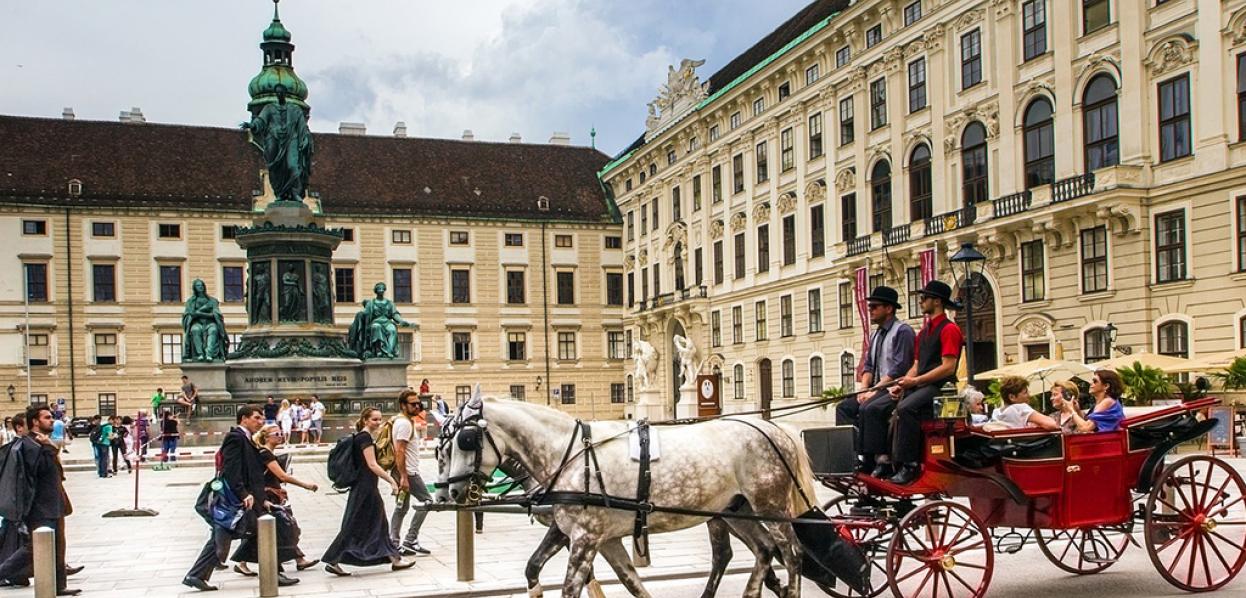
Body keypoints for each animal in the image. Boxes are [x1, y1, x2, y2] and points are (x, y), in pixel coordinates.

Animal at [443, 396, 812, 598]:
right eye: (443, 449)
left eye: (465, 439)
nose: (452, 491)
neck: (570, 453)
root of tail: (774, 427)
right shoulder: (590, 535)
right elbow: (627, 580)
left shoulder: (586, 536)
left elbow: (571, 587)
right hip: (736, 510)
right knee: (763, 550)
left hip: (769, 505)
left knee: (791, 553)